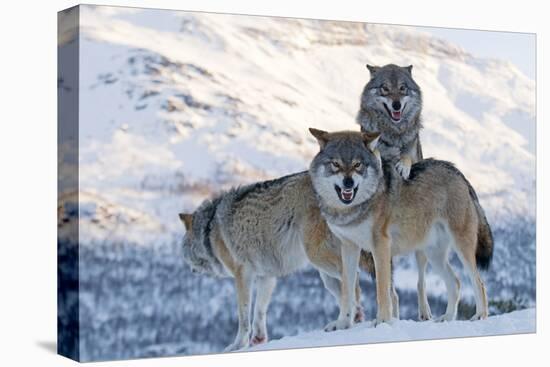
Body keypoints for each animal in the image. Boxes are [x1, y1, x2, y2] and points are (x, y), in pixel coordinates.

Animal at [180, 174, 376, 352]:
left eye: (183, 250)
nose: (190, 270)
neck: (209, 230)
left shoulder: (242, 275)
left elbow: (243, 316)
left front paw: (237, 346)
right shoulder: (266, 276)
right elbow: (259, 311)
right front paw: (258, 340)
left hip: (317, 256)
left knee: (353, 280)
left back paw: (348, 320)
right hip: (325, 275)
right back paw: (354, 318)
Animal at [310, 130, 496, 330]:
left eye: (357, 164)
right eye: (335, 164)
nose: (348, 183)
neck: (352, 209)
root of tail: (459, 173)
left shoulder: (380, 246)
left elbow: (382, 290)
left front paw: (382, 321)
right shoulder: (349, 247)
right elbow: (347, 292)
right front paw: (342, 324)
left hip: (462, 248)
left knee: (479, 282)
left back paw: (480, 316)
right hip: (434, 255)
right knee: (456, 282)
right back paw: (446, 318)